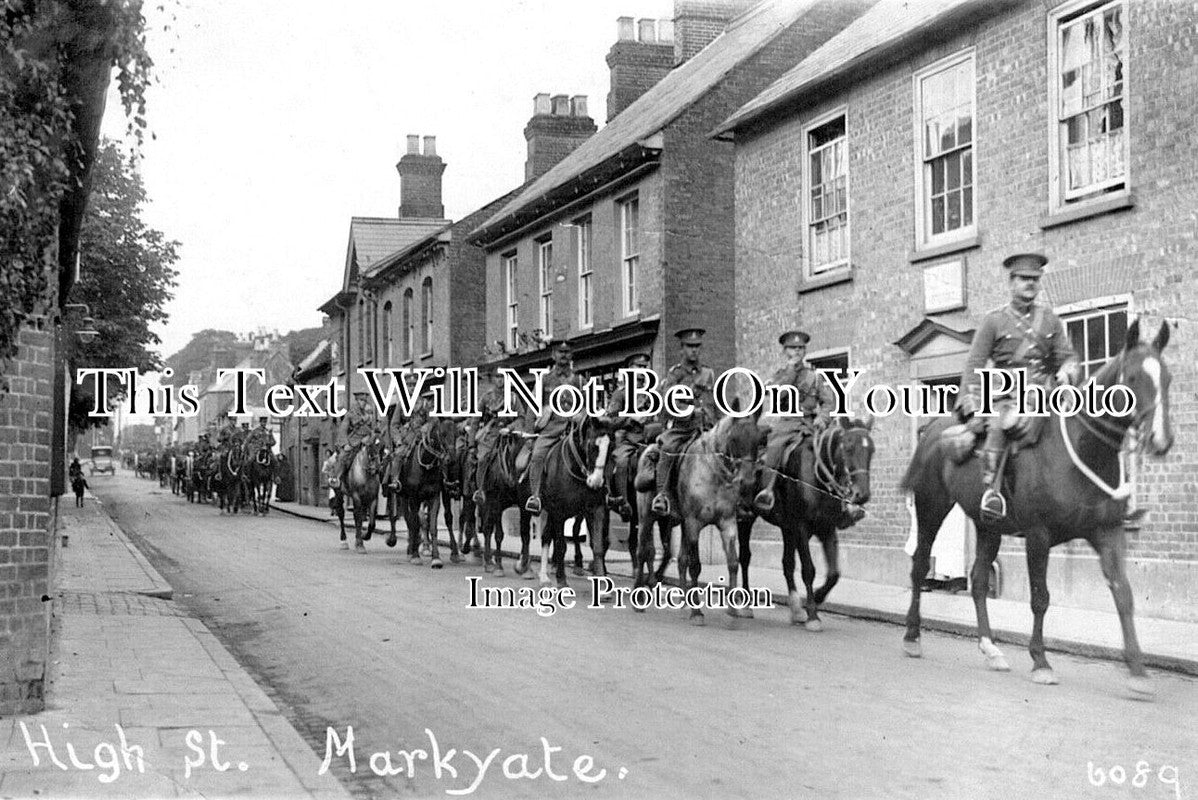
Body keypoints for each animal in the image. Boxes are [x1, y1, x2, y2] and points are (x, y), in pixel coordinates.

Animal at [388, 419, 457, 567]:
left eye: (457, 433)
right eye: (442, 434)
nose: (452, 459)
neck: (426, 467)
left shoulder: (434, 497)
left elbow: (432, 526)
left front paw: (436, 558)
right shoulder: (414, 498)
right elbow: (415, 524)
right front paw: (415, 555)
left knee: (446, 518)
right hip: (403, 496)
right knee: (409, 520)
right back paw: (410, 550)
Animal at [534, 416, 608, 584]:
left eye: (610, 447)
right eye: (591, 445)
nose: (596, 481)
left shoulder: (596, 509)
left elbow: (597, 547)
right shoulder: (558, 512)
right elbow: (561, 545)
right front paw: (562, 581)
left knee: (547, 536)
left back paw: (544, 575)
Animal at [632, 407, 761, 622]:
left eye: (758, 439)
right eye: (734, 438)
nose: (748, 481)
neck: (714, 473)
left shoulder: (727, 523)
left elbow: (733, 562)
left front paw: (732, 611)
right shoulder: (694, 523)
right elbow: (695, 565)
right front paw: (697, 612)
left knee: (679, 558)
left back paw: (683, 602)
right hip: (646, 516)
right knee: (643, 551)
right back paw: (639, 598)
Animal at [733, 416, 876, 627]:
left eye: (871, 450)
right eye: (848, 447)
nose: (862, 495)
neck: (818, 477)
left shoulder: (826, 528)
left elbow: (834, 574)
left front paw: (816, 598)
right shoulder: (801, 527)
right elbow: (809, 570)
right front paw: (813, 616)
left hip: (787, 528)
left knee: (787, 563)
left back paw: (796, 609)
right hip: (747, 518)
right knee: (745, 557)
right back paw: (745, 605)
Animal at [900, 318, 1174, 694]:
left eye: (1167, 378)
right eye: (1132, 378)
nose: (1161, 441)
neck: (1082, 449)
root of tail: (931, 430)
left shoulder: (1107, 532)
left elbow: (1123, 595)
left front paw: (1137, 670)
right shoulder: (1038, 536)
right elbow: (1040, 597)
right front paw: (1041, 661)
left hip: (988, 525)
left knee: (979, 579)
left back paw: (991, 649)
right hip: (932, 508)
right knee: (919, 565)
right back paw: (912, 637)